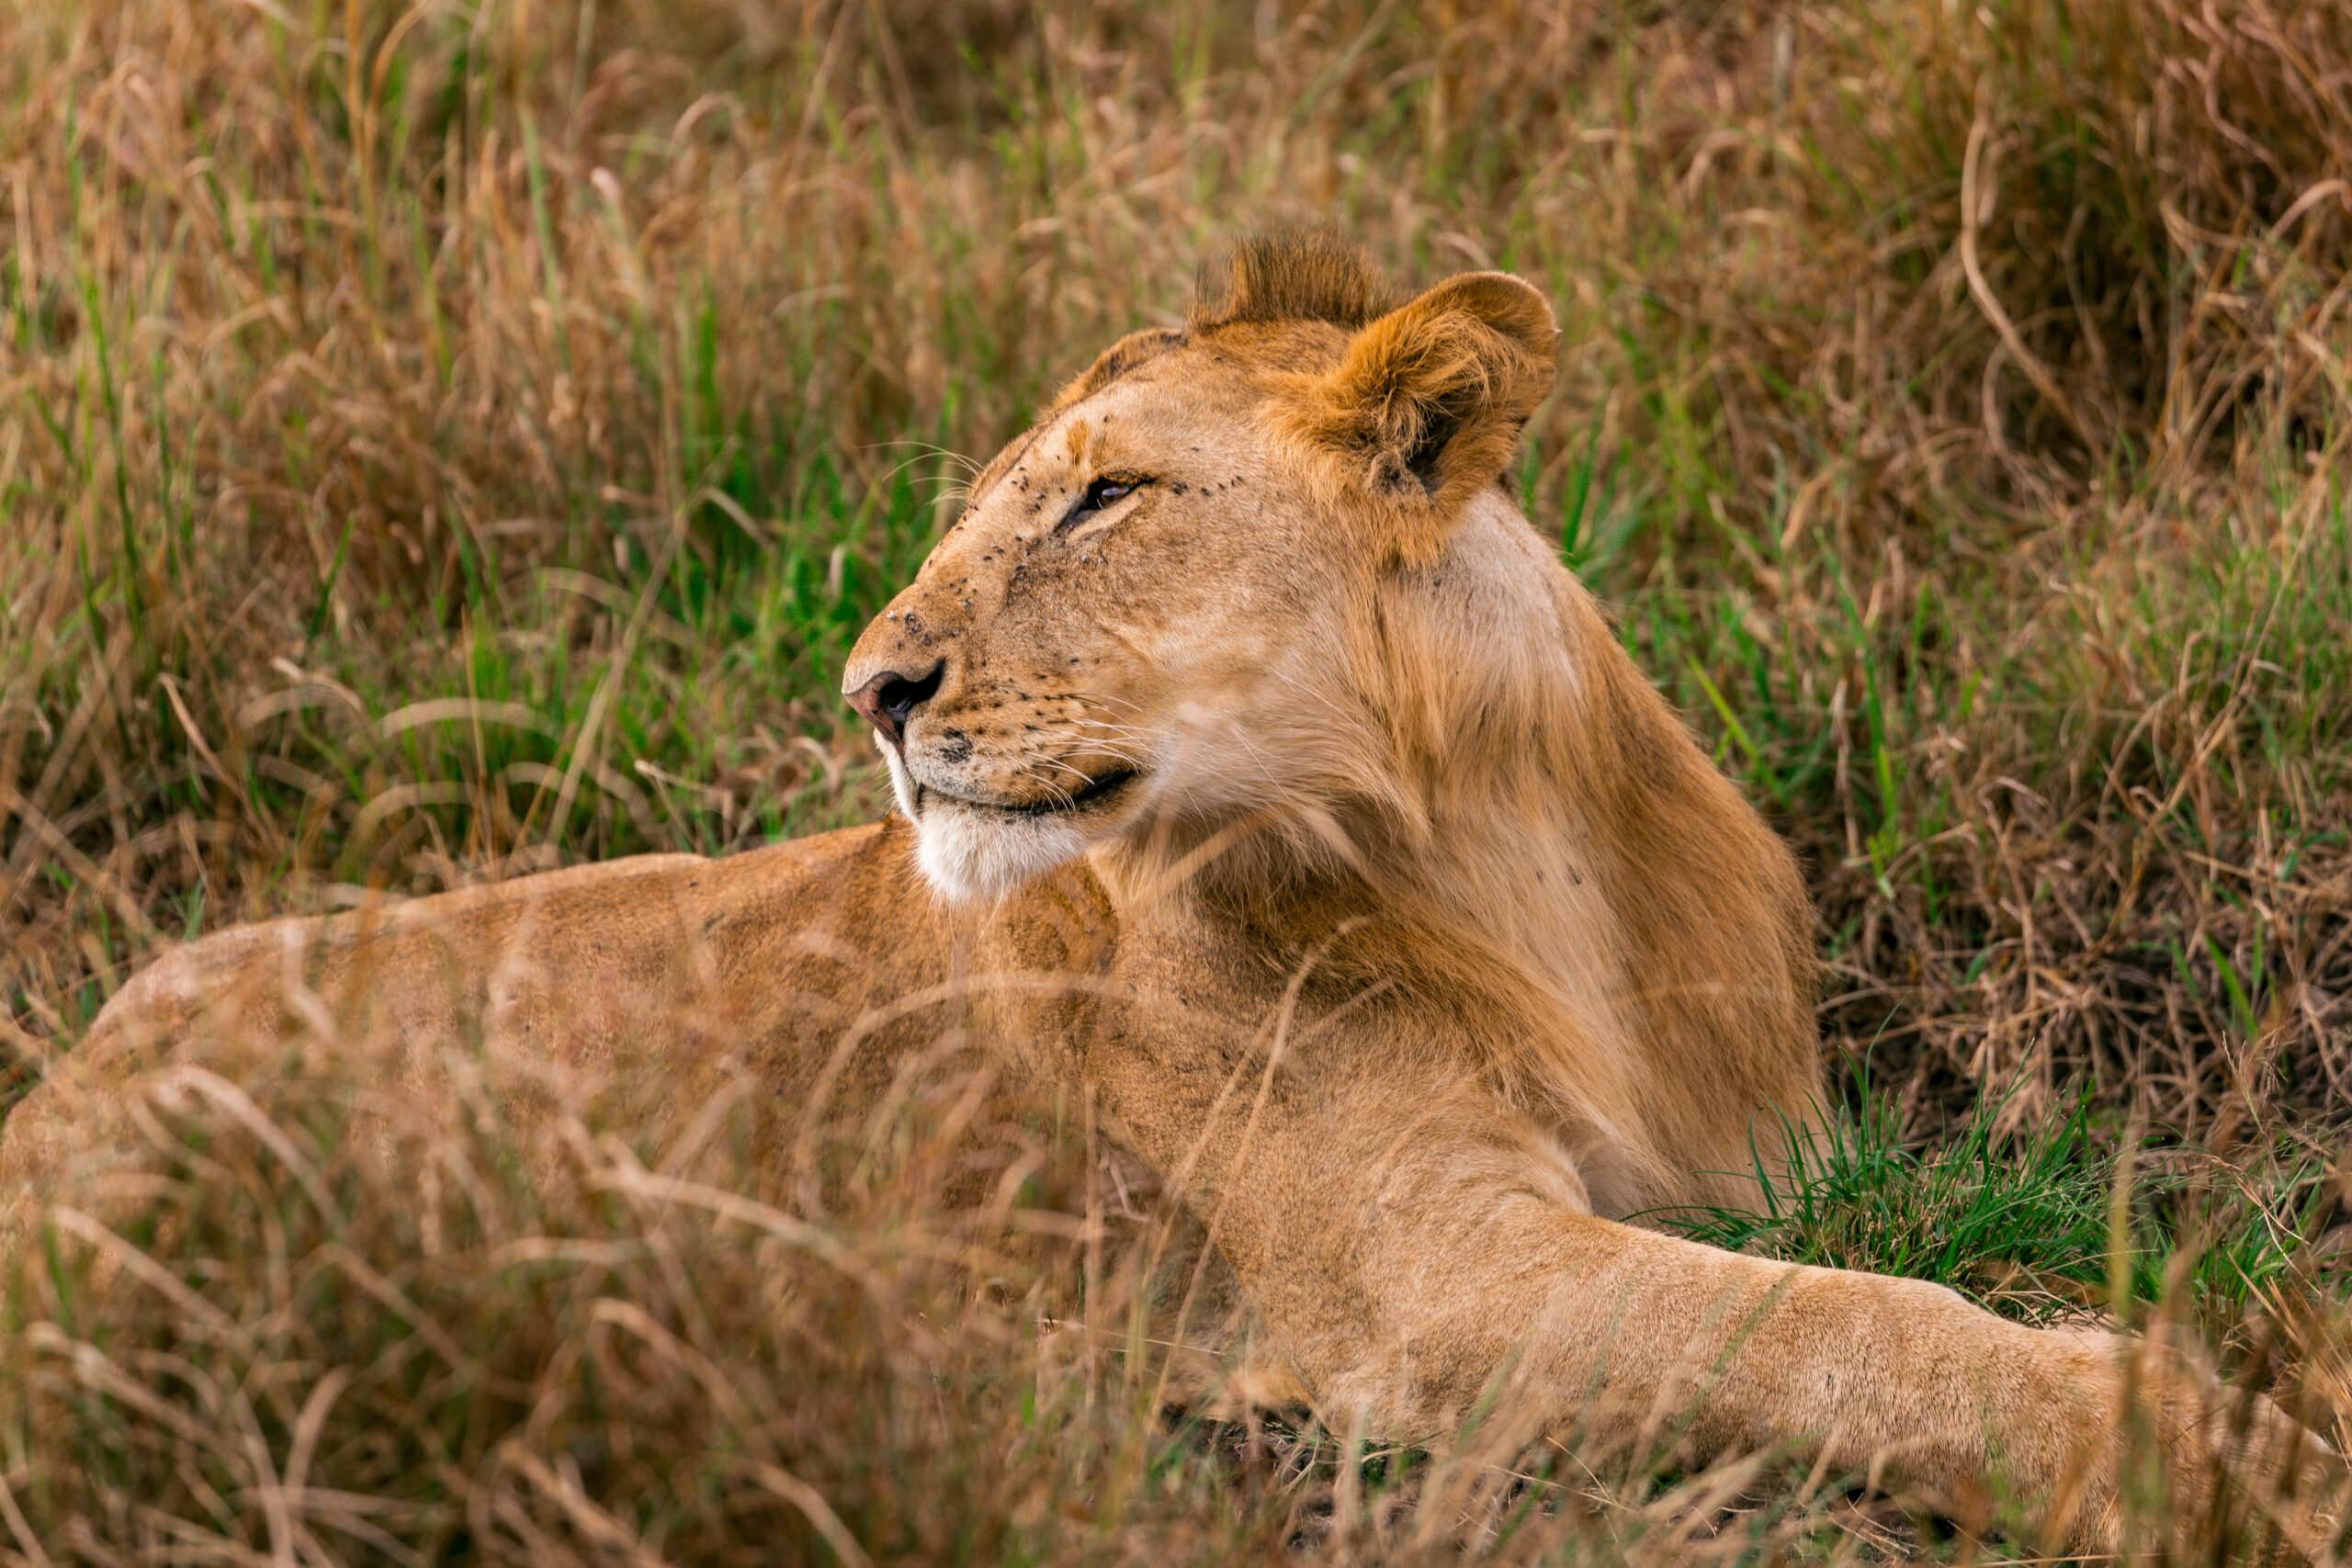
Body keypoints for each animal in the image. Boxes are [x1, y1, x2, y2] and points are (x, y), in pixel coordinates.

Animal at [5, 236, 2333, 1561]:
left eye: (1104, 495)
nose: (871, 691)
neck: (1507, 868)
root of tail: (57, 1082)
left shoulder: (1736, 1163)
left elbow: (1857, 1285)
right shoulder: (1433, 1286)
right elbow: (1857, 1326)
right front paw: (2200, 1439)